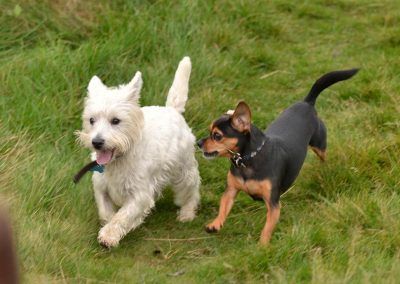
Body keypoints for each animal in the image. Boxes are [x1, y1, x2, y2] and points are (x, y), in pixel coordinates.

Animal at [76, 56, 200, 247]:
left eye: (116, 120)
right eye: (91, 120)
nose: (97, 142)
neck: (119, 160)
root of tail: (172, 110)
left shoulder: (140, 193)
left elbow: (123, 216)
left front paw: (109, 236)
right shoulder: (101, 187)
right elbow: (106, 211)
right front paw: (108, 225)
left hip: (183, 169)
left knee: (191, 190)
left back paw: (186, 214)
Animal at [198, 69, 358, 244]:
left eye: (217, 136)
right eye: (209, 131)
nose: (198, 142)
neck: (247, 160)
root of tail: (307, 103)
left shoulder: (273, 204)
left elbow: (267, 229)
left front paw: (262, 246)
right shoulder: (231, 191)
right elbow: (223, 207)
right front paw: (215, 224)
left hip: (319, 144)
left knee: (323, 156)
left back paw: (325, 168)